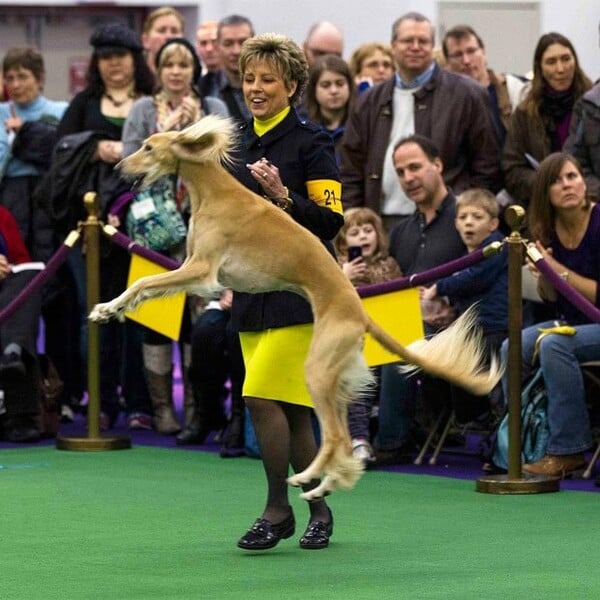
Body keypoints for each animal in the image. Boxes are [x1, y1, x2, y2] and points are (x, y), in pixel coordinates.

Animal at [89, 115, 502, 500]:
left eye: (148, 147)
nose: (117, 168)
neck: (215, 192)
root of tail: (360, 313)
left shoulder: (201, 270)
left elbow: (142, 283)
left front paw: (106, 308)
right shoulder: (191, 267)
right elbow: (141, 287)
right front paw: (108, 310)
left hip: (318, 370)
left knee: (334, 437)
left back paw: (307, 478)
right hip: (337, 378)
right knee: (342, 442)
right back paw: (321, 487)